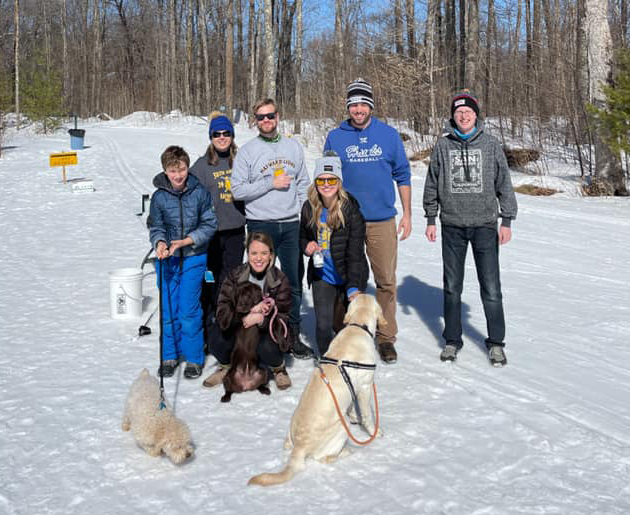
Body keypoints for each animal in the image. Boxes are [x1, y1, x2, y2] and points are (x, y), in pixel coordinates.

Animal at [249, 294, 388, 488]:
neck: (358, 326)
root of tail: (299, 448)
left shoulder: (353, 388)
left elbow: (351, 406)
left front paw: (354, 416)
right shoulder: (365, 387)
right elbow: (367, 415)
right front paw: (375, 432)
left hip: (291, 435)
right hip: (340, 427)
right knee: (324, 458)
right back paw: (346, 452)